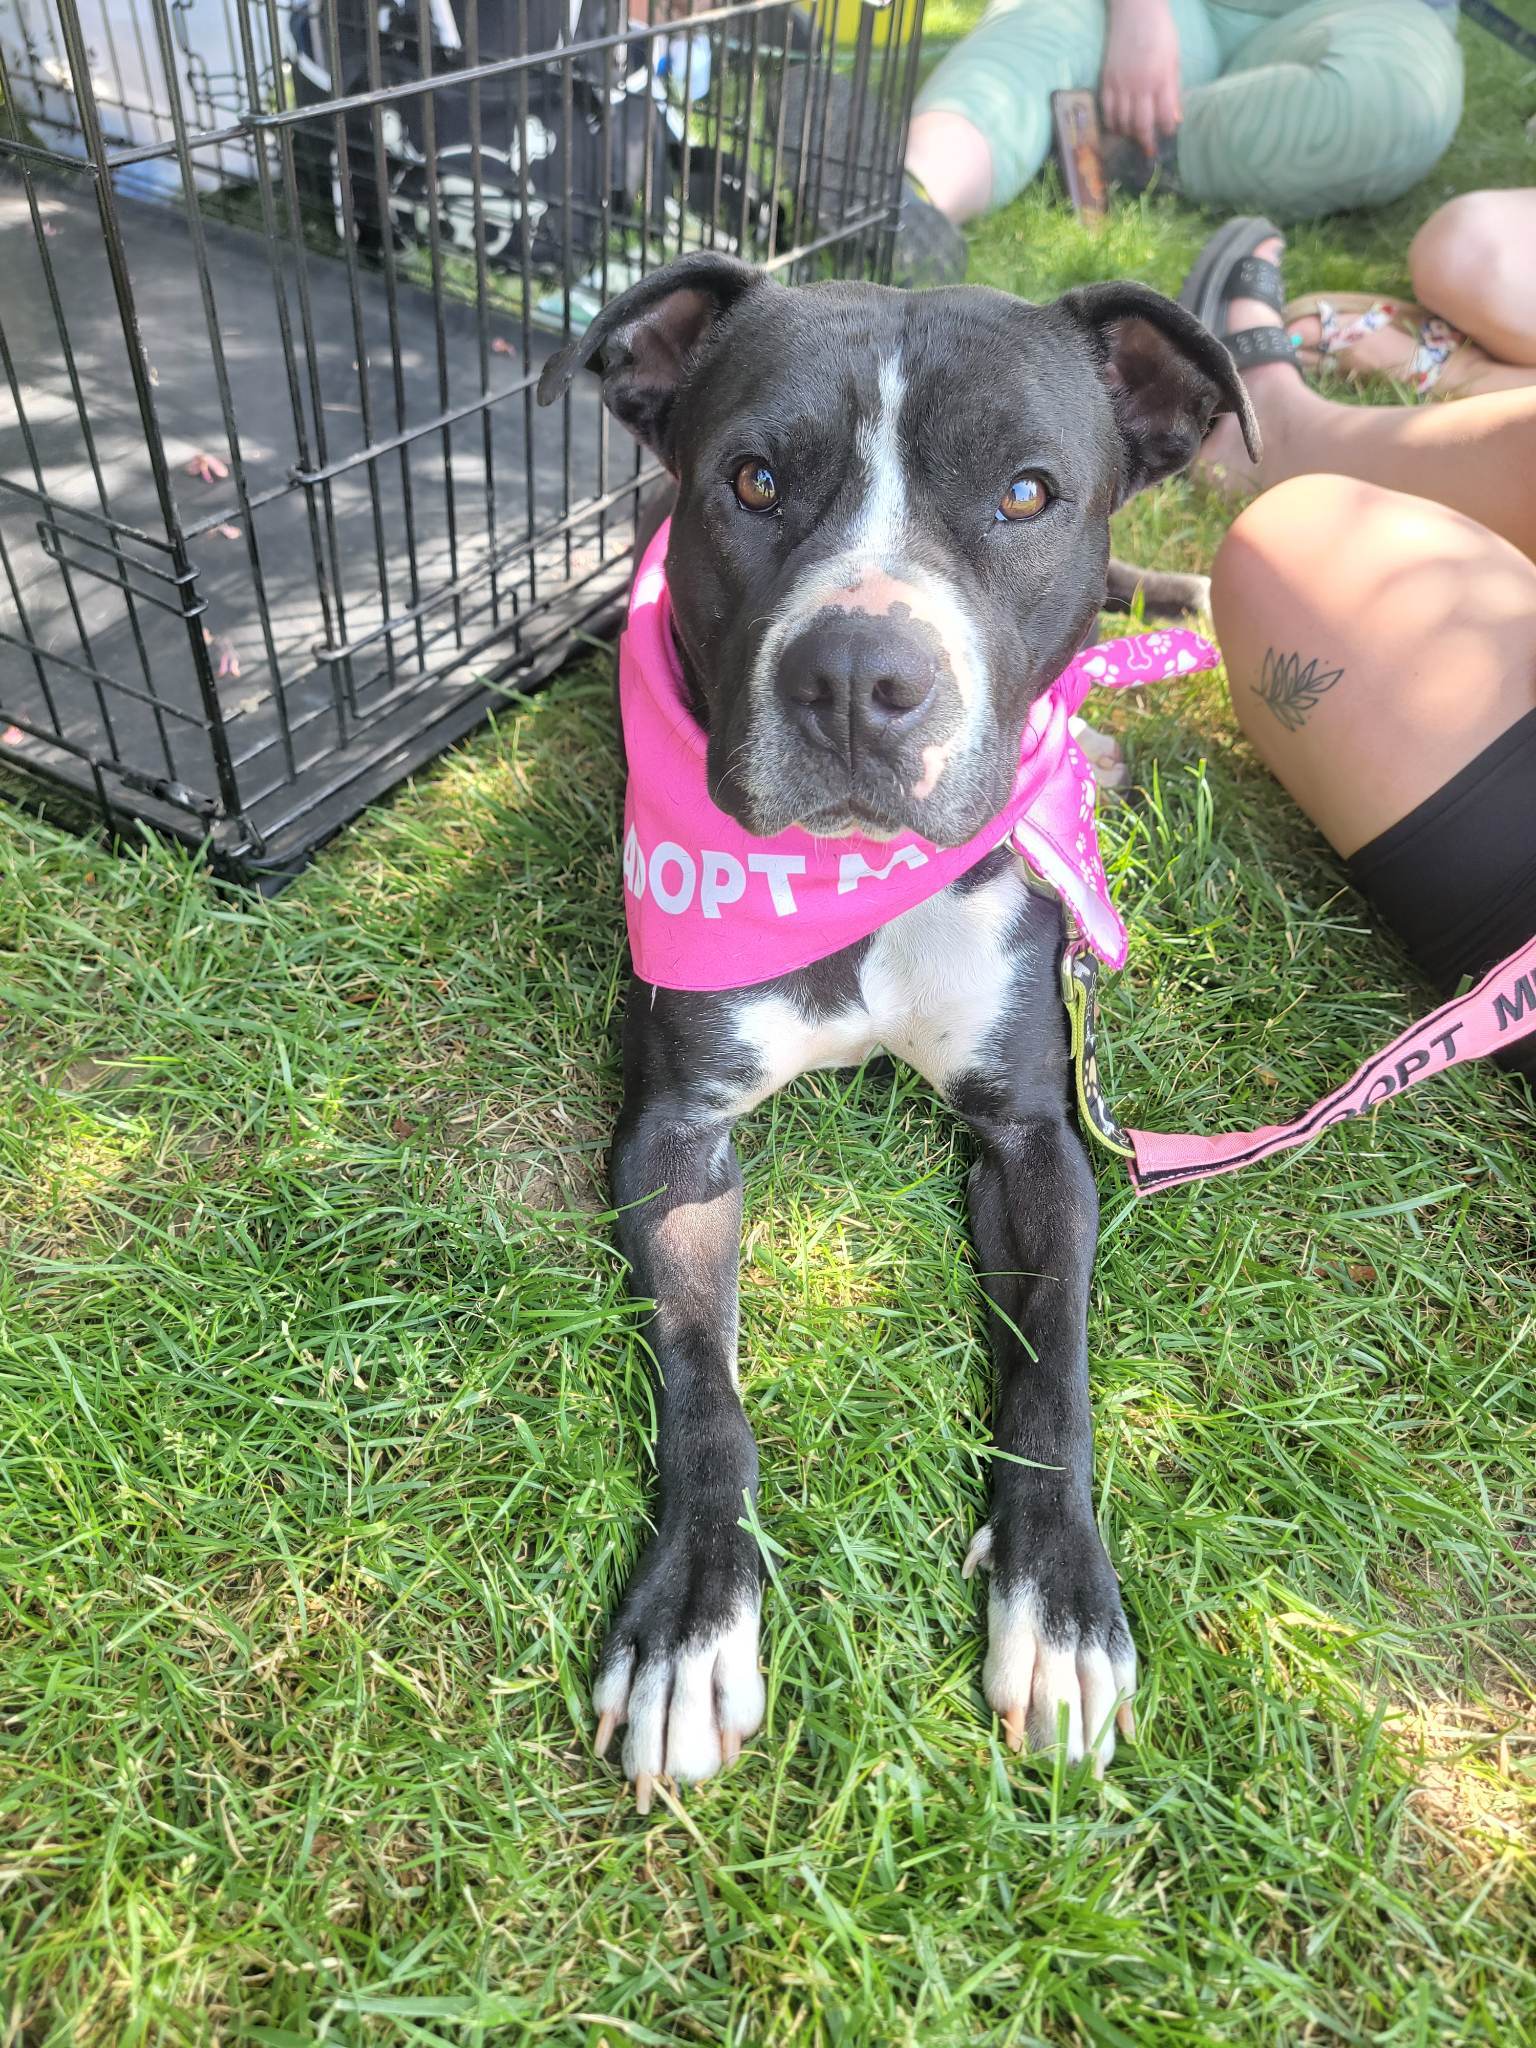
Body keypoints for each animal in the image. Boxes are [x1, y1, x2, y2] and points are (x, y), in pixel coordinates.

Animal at [540, 256, 1261, 1810]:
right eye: (752, 481)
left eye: (1028, 493)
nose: (860, 677)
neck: (858, 881)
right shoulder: (677, 1134)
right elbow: (703, 1386)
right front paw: (694, 1622)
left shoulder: (1036, 1135)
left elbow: (1055, 1370)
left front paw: (1060, 1608)